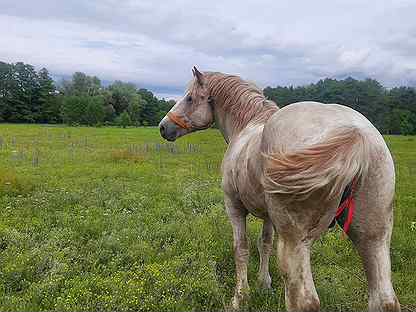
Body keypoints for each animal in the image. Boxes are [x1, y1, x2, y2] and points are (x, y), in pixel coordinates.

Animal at [159, 67, 400, 310]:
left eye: (190, 98)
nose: (163, 127)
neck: (246, 127)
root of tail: (356, 134)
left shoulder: (234, 206)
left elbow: (241, 248)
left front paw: (240, 297)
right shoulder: (268, 216)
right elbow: (264, 243)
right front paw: (263, 283)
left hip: (295, 243)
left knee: (304, 300)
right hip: (374, 238)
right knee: (385, 299)